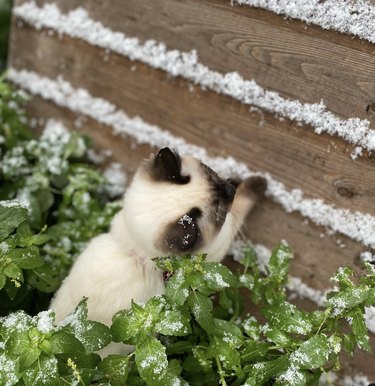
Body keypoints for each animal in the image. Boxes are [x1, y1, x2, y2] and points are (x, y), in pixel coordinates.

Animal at [50, 148, 268, 356]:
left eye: (214, 175)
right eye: (219, 212)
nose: (231, 189)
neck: (136, 251)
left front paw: (238, 177)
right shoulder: (222, 240)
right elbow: (242, 205)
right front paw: (260, 182)